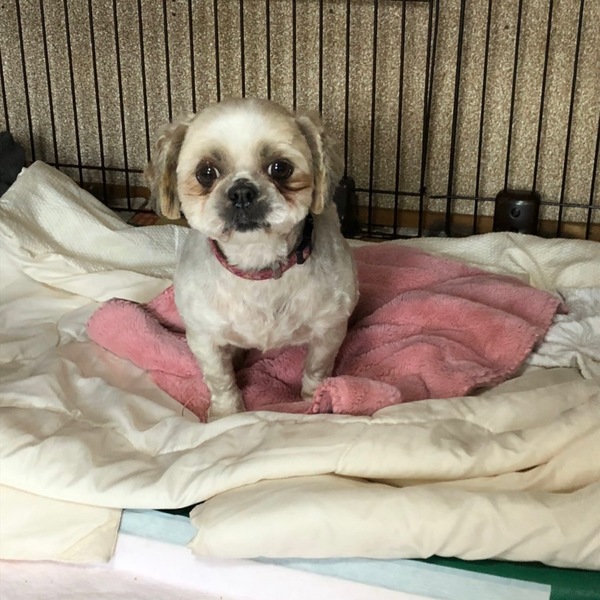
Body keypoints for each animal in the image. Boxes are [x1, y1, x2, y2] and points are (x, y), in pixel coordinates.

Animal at [146, 98, 358, 419]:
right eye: (206, 173)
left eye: (280, 168)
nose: (242, 191)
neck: (259, 265)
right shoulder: (204, 335)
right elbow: (220, 380)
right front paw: (226, 414)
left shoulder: (329, 328)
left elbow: (317, 370)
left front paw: (315, 401)